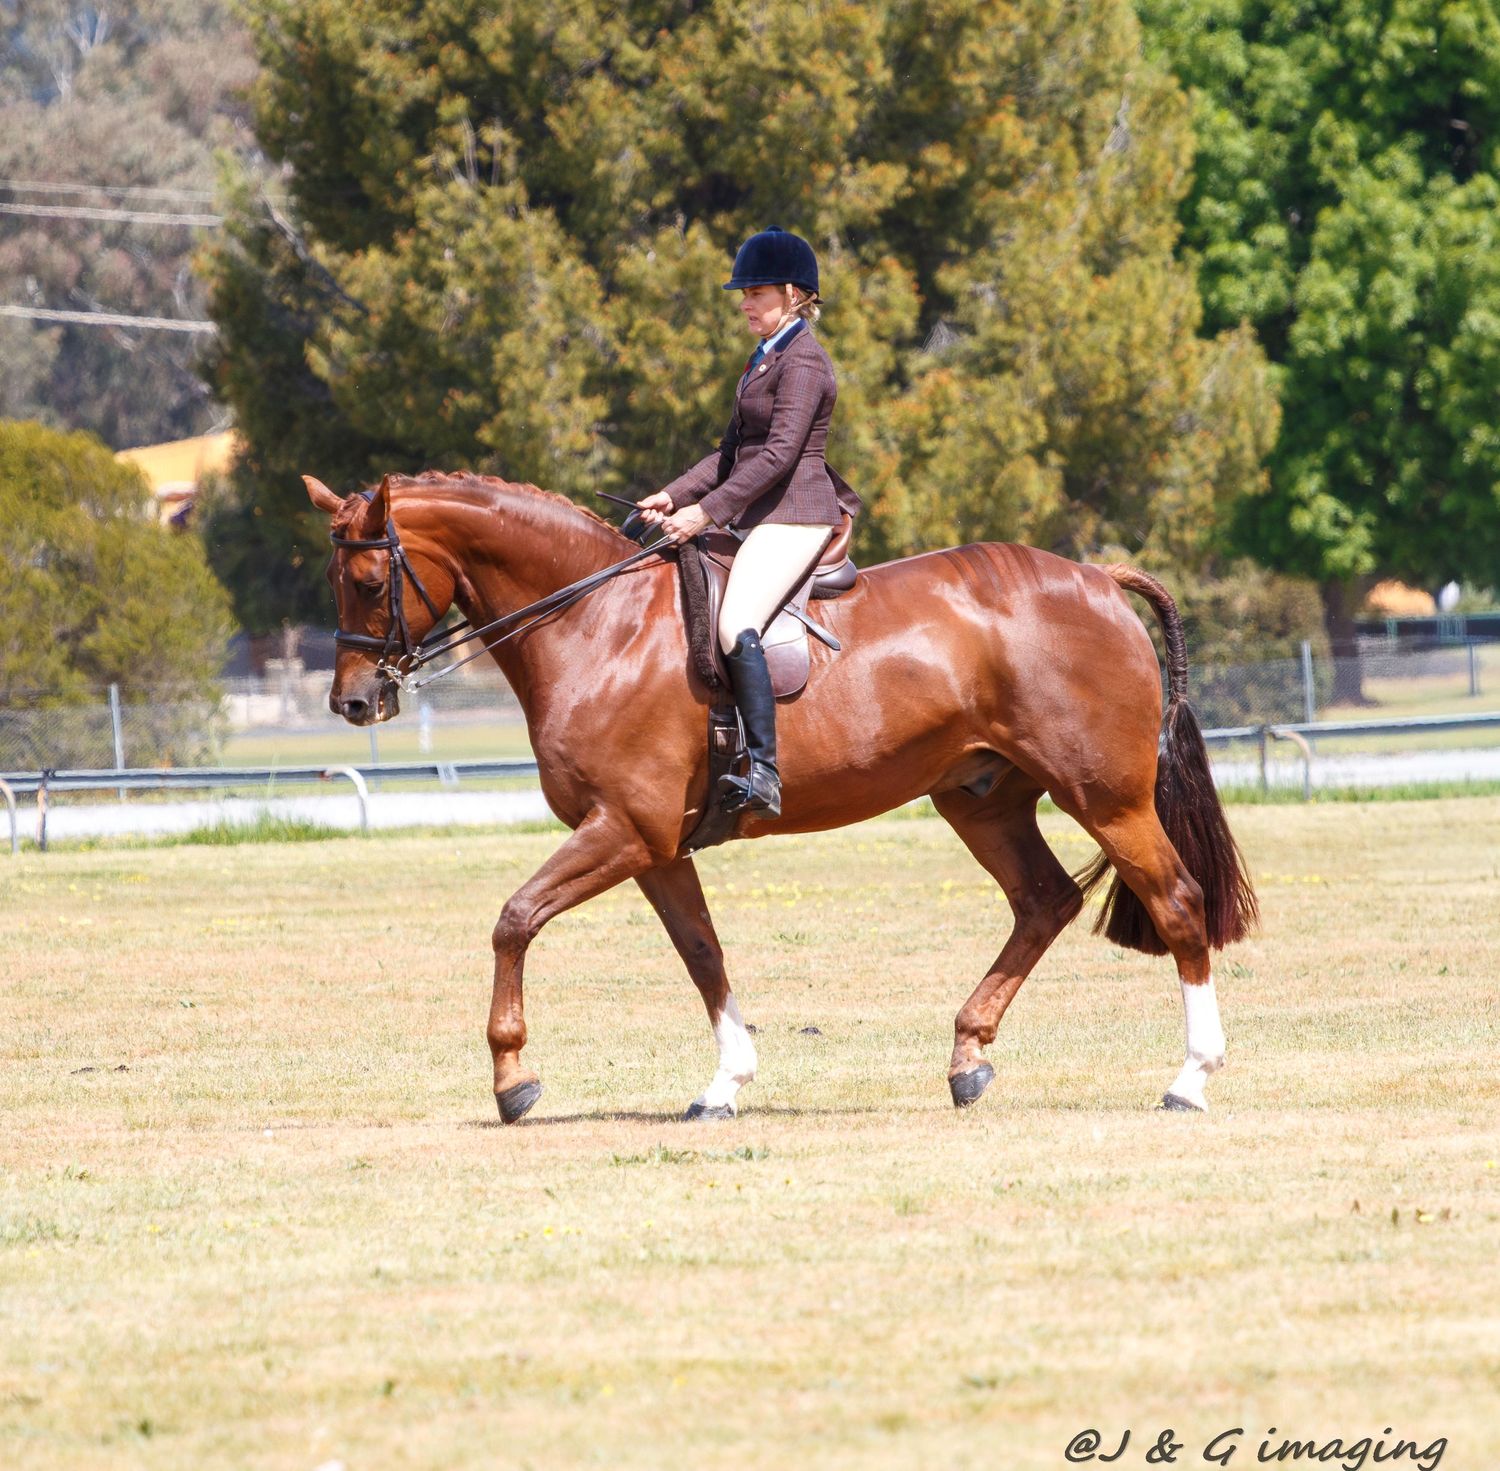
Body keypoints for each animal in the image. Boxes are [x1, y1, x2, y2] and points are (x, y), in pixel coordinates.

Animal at [303, 469, 1257, 1124]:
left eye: (370, 583)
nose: (353, 703)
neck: (597, 624)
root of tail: (1096, 578)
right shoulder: (654, 846)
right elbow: (702, 953)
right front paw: (725, 1083)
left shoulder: (622, 829)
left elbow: (514, 918)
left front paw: (513, 1078)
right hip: (982, 798)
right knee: (1044, 900)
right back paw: (967, 1057)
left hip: (1107, 796)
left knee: (1177, 902)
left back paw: (1190, 1077)